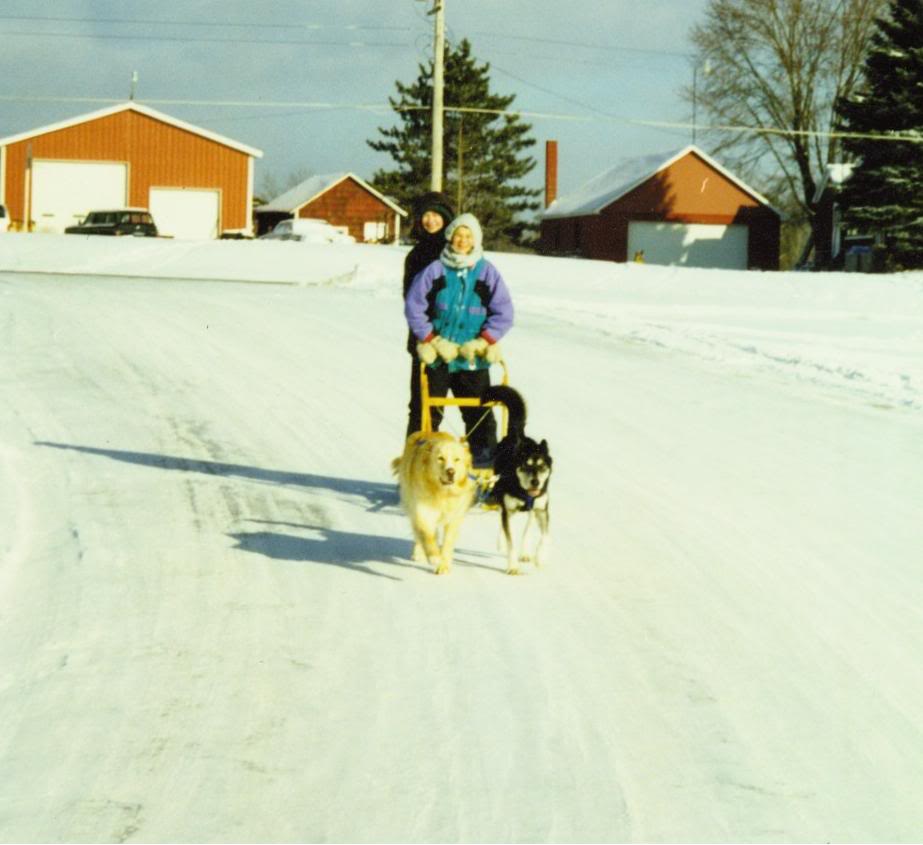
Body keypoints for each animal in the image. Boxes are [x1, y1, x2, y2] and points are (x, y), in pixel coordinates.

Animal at [480, 384, 552, 572]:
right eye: (525, 465)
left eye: (541, 466)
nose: (536, 482)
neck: (523, 491)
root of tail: (517, 434)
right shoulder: (508, 509)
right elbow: (510, 539)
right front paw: (512, 565)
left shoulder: (541, 510)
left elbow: (544, 536)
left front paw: (539, 558)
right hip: (503, 502)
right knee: (502, 522)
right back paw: (501, 544)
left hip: (531, 511)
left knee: (527, 528)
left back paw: (525, 552)